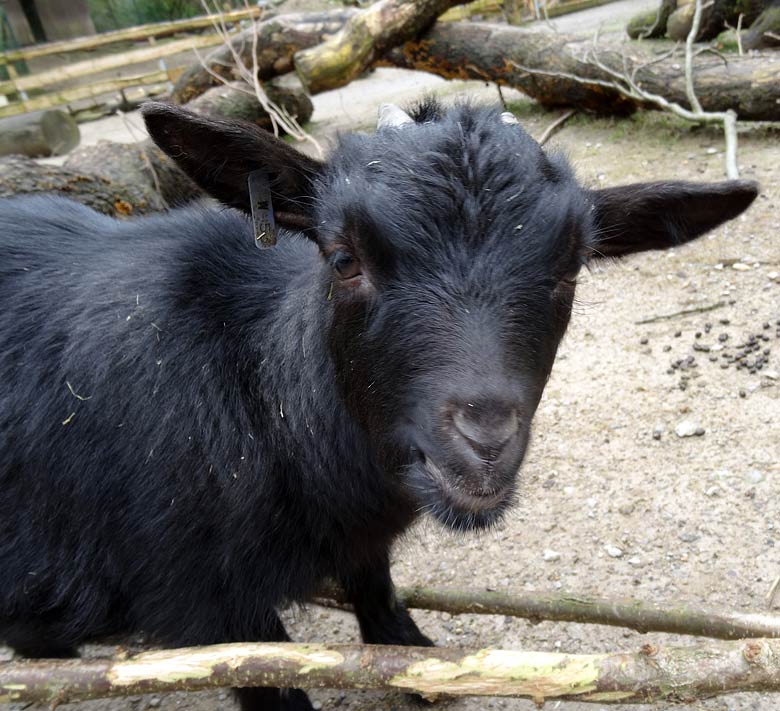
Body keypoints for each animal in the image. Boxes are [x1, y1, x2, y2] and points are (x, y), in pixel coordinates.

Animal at [0, 97, 756, 708]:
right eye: (343, 258)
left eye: (571, 269)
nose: (484, 442)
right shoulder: (203, 599)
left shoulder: (359, 538)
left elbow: (377, 588)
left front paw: (415, 664)